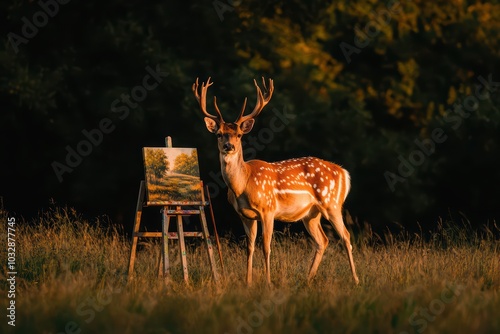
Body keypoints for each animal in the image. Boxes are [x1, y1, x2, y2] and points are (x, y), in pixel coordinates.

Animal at [191, 77, 360, 286]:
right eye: (219, 134)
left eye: (239, 135)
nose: (228, 146)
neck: (243, 184)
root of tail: (344, 172)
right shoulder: (244, 215)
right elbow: (249, 247)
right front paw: (248, 282)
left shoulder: (268, 209)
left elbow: (266, 247)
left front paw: (268, 282)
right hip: (311, 213)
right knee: (323, 240)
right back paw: (307, 279)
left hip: (332, 203)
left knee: (345, 236)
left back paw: (355, 280)